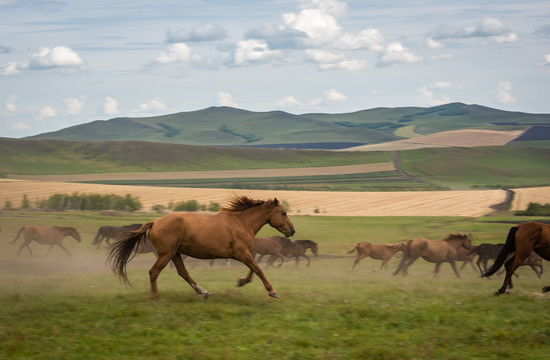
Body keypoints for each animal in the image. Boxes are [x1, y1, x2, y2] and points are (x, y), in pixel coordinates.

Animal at [109, 195, 298, 300]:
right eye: (283, 213)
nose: (292, 230)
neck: (242, 222)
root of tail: (155, 222)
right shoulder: (242, 254)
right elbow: (258, 269)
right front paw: (272, 291)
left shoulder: (245, 254)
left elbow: (254, 269)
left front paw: (241, 282)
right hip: (166, 254)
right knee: (154, 272)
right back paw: (156, 297)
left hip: (175, 254)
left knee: (183, 273)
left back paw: (204, 292)